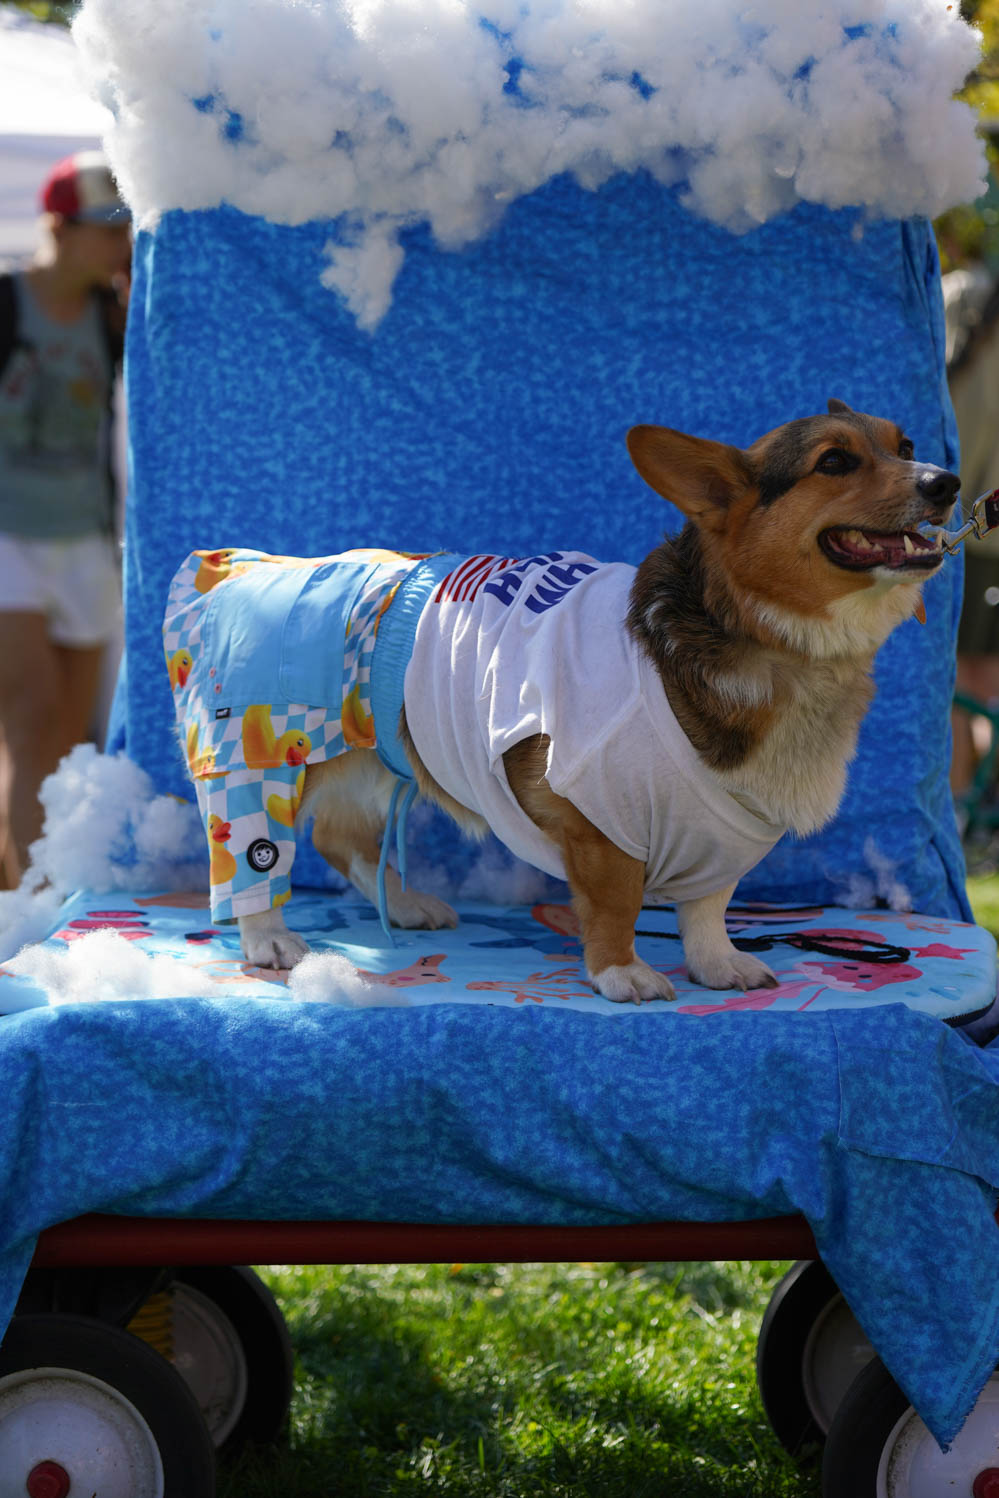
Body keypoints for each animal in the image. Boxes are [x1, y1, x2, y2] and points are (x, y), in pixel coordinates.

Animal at [172, 404, 958, 1000]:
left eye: (904, 447)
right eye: (835, 462)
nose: (946, 482)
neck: (766, 638)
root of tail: (236, 571)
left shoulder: (725, 830)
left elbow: (708, 905)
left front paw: (717, 964)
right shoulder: (595, 818)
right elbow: (617, 902)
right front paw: (621, 973)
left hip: (378, 759)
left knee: (344, 841)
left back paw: (404, 904)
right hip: (263, 762)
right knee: (252, 859)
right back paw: (270, 938)